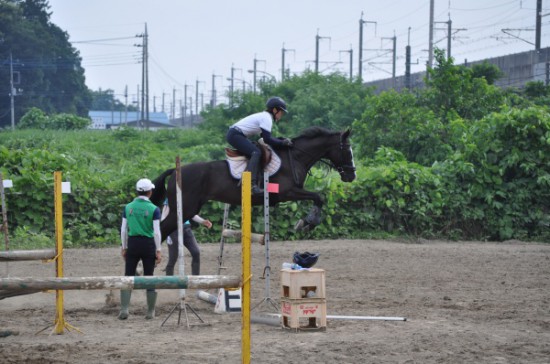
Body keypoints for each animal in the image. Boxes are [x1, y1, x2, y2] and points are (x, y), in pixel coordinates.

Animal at [151, 126, 358, 240]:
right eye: (347, 150)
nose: (352, 176)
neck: (295, 157)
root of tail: (174, 171)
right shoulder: (287, 192)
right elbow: (318, 196)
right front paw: (308, 223)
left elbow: (318, 197)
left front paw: (306, 223)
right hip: (185, 208)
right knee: (163, 229)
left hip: (188, 208)